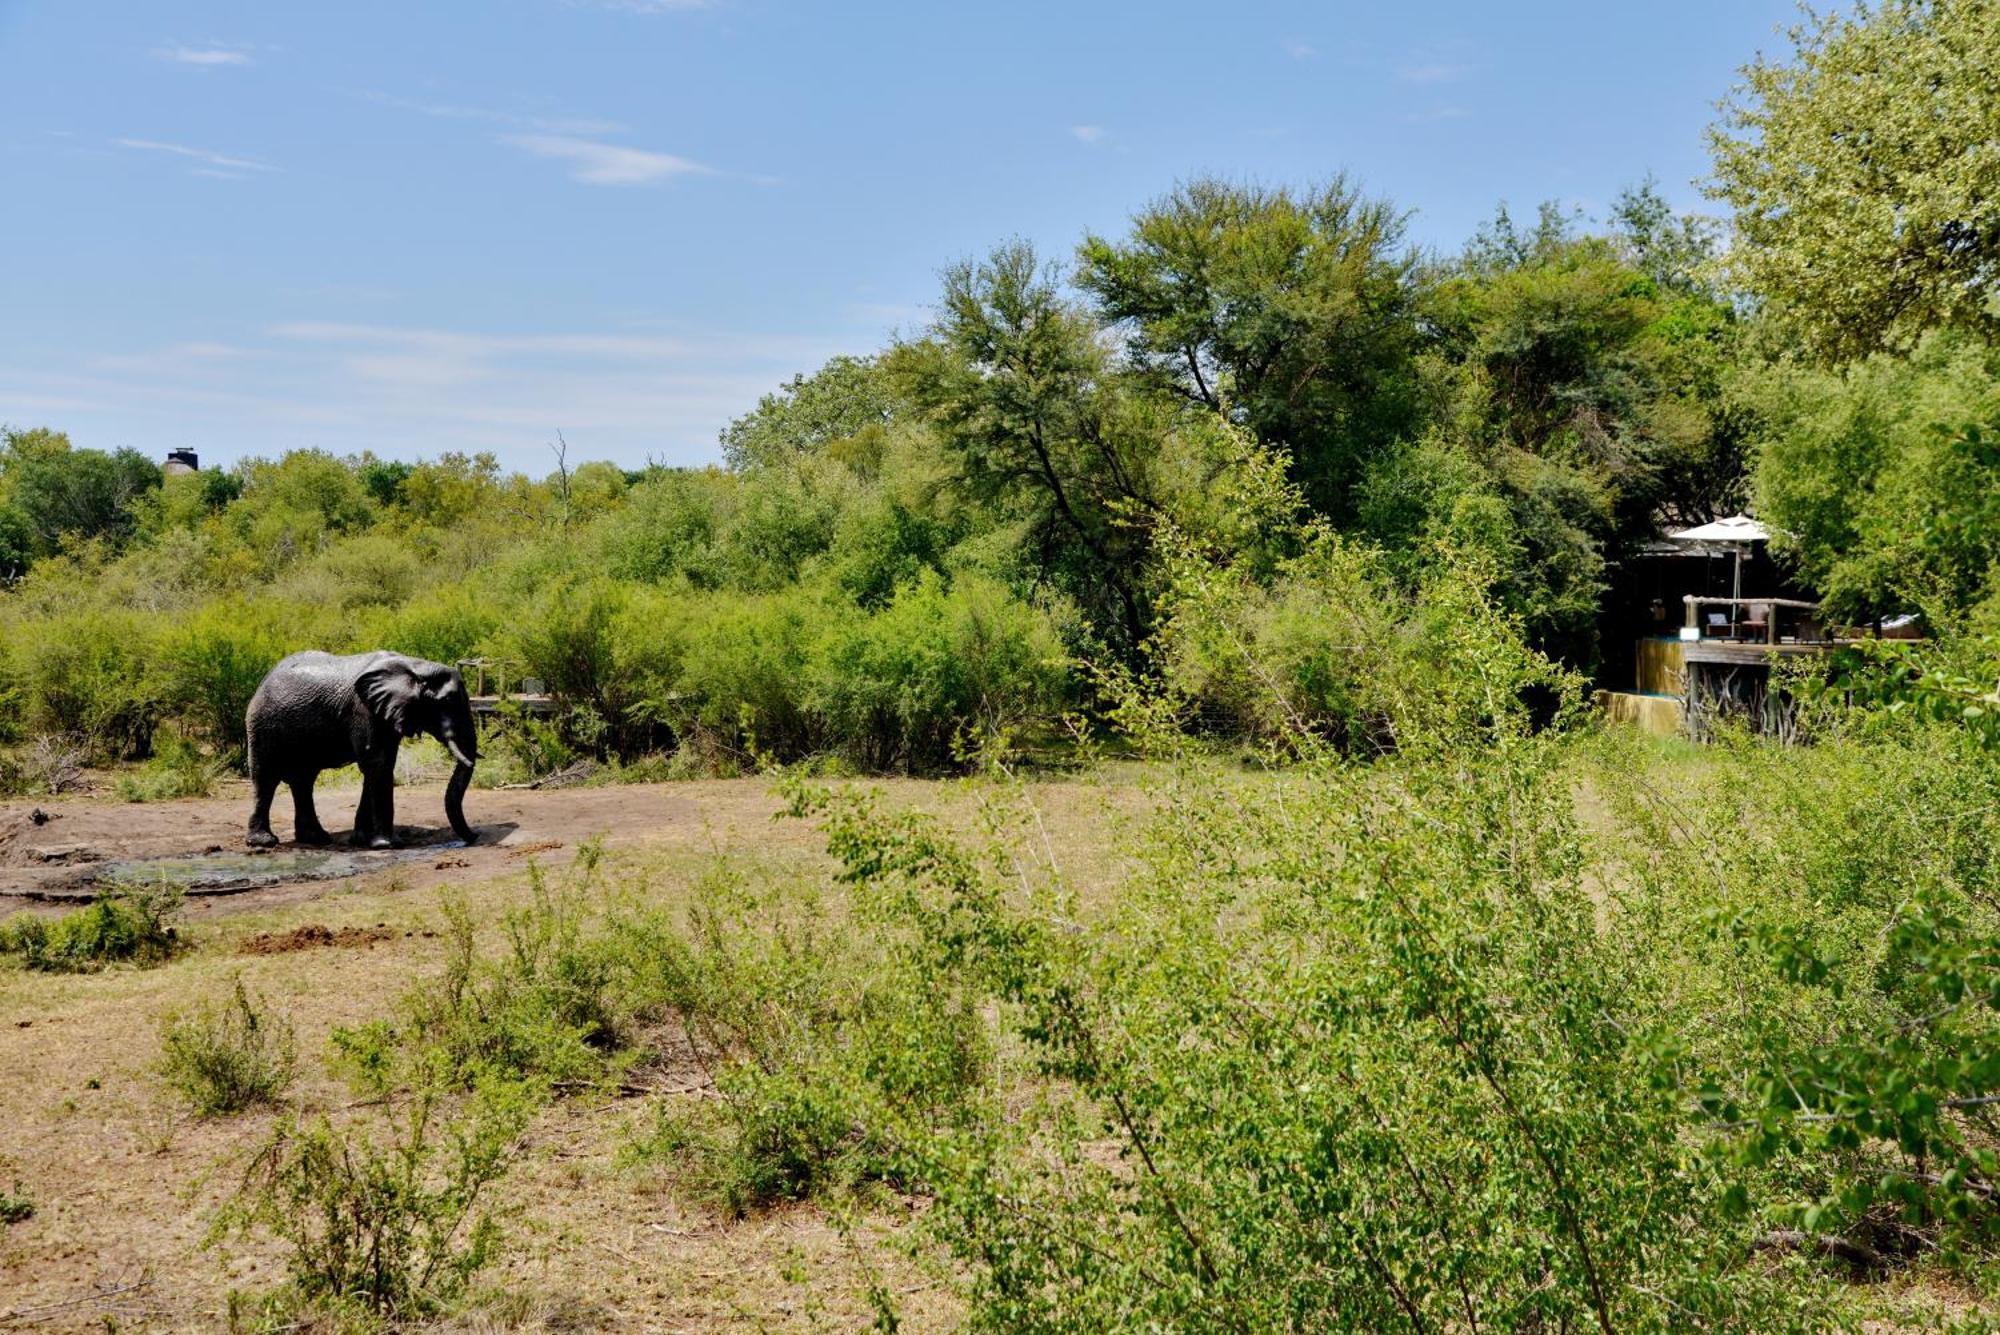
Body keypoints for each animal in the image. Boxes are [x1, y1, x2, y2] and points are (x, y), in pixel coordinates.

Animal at [246, 651, 480, 851]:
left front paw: (361, 841)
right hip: (262, 725)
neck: (415, 666)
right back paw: (264, 842)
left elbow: (378, 766)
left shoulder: (385, 712)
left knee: (303, 781)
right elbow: (378, 764)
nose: (475, 836)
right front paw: (388, 844)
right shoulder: (363, 710)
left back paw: (316, 838)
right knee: (266, 778)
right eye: (449, 700)